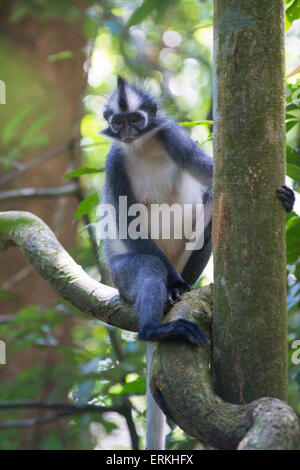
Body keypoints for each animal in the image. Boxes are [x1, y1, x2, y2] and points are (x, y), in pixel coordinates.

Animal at [99, 75, 296, 450]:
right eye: (118, 122)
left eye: (136, 120)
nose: (127, 132)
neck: (140, 147)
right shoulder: (114, 163)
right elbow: (127, 220)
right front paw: (173, 286)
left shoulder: (171, 137)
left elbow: (211, 174)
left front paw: (290, 198)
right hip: (121, 275)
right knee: (149, 266)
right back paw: (159, 320)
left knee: (211, 203)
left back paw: (181, 290)